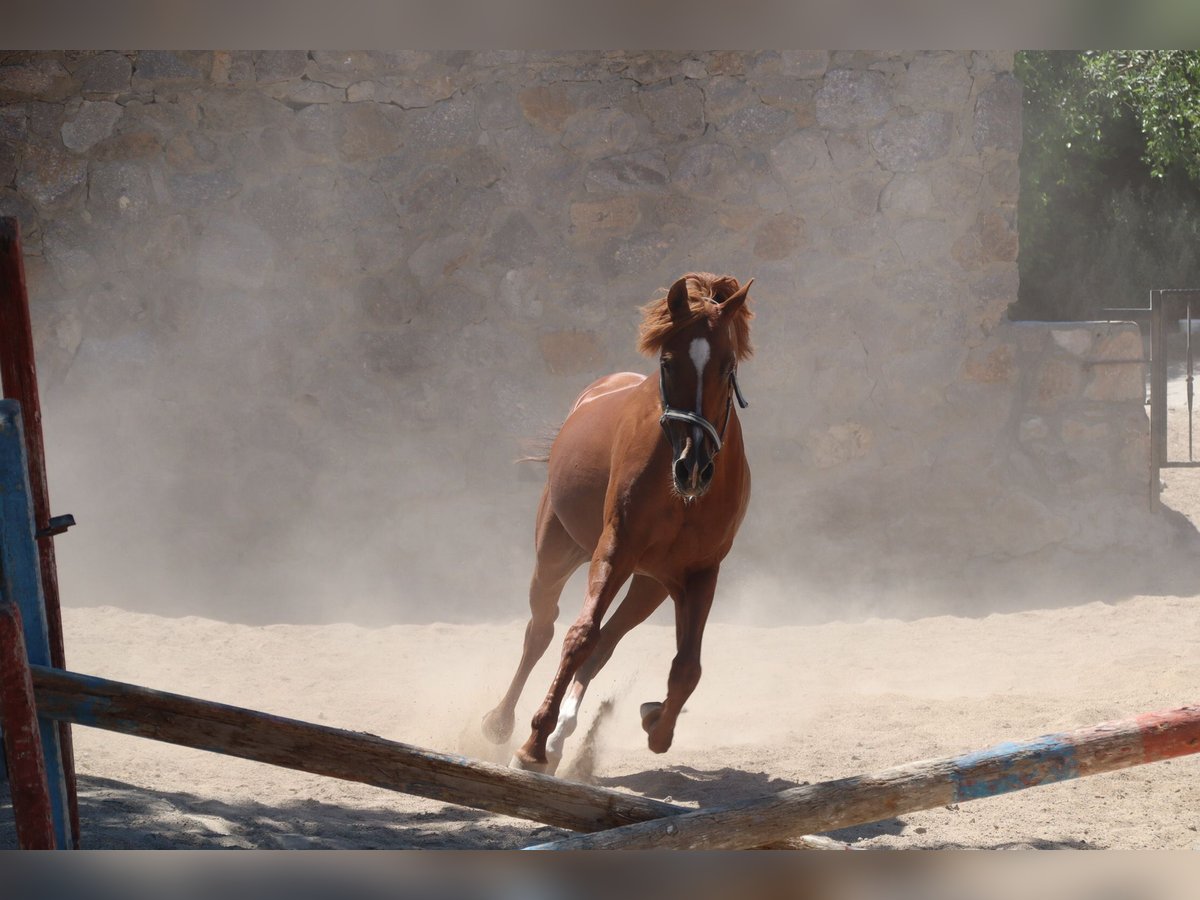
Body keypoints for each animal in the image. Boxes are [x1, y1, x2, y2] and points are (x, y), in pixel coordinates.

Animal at [477, 271, 748, 772]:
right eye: (667, 363)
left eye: (727, 366)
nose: (693, 468)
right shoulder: (615, 549)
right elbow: (578, 636)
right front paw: (531, 746)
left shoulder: (700, 572)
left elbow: (687, 667)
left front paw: (656, 722)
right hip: (557, 553)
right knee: (542, 630)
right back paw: (505, 725)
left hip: (649, 584)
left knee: (607, 642)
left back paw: (566, 737)